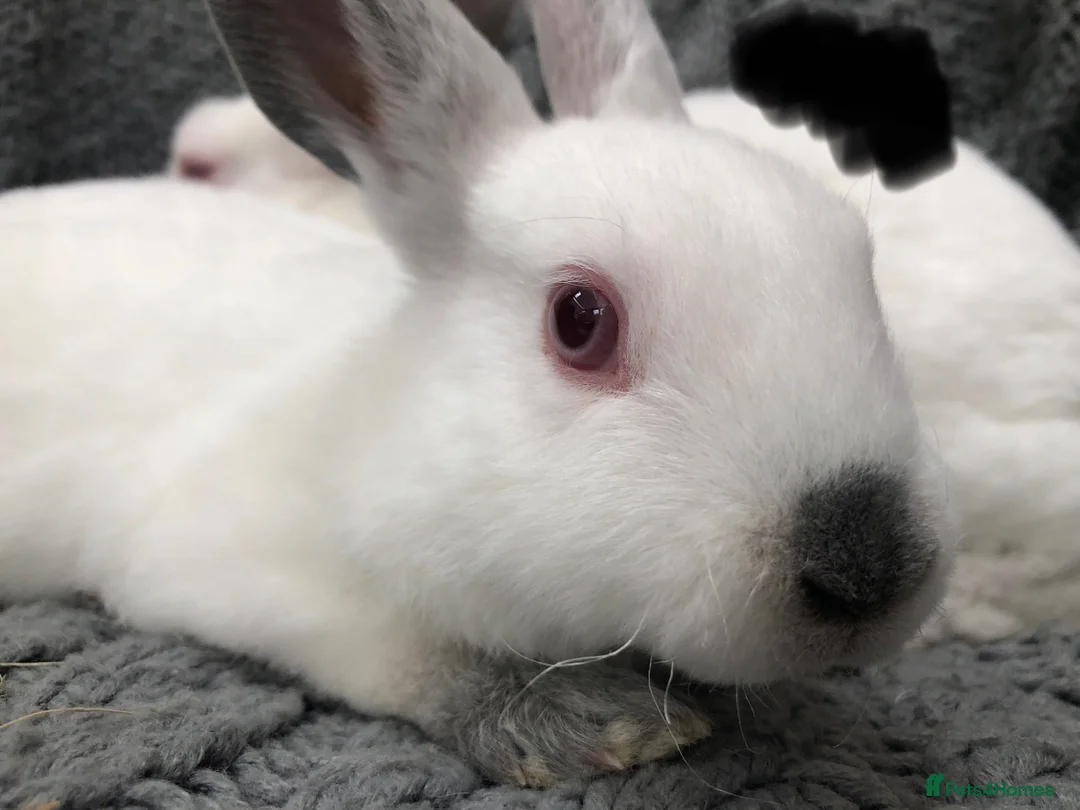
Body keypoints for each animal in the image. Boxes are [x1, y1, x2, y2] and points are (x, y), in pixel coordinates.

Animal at [0, 0, 957, 788]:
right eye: (580, 320)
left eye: (857, 262)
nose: (868, 571)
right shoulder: (230, 563)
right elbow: (408, 648)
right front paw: (595, 724)